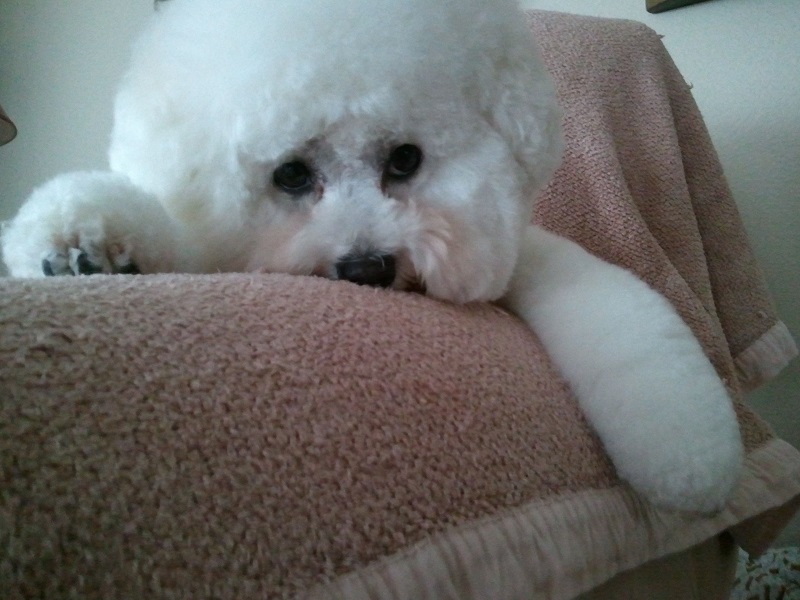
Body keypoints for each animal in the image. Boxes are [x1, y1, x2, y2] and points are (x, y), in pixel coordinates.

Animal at [0, 0, 744, 510]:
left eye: (405, 160)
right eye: (291, 174)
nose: (367, 269)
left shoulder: (515, 253)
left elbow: (615, 312)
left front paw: (688, 445)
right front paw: (80, 245)